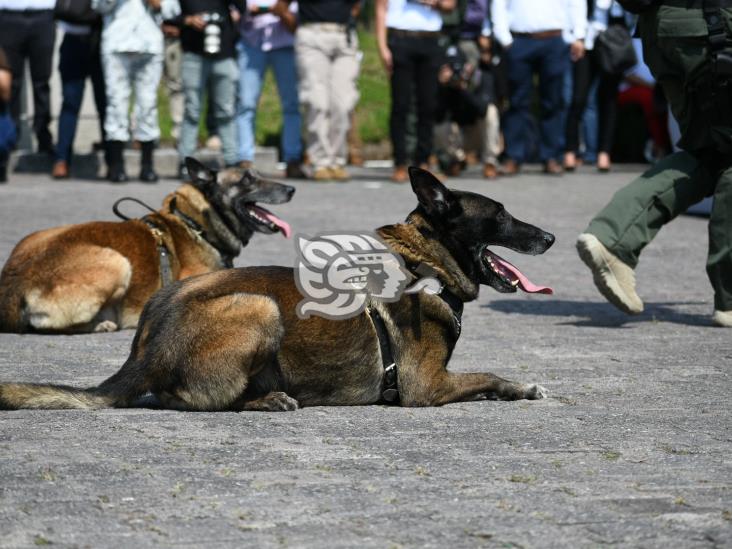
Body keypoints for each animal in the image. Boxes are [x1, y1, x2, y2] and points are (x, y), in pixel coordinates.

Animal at [0, 156, 294, 332]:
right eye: (247, 180)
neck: (195, 223)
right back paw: (103, 324)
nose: (291, 189)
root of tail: (13, 284)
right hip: (117, 262)